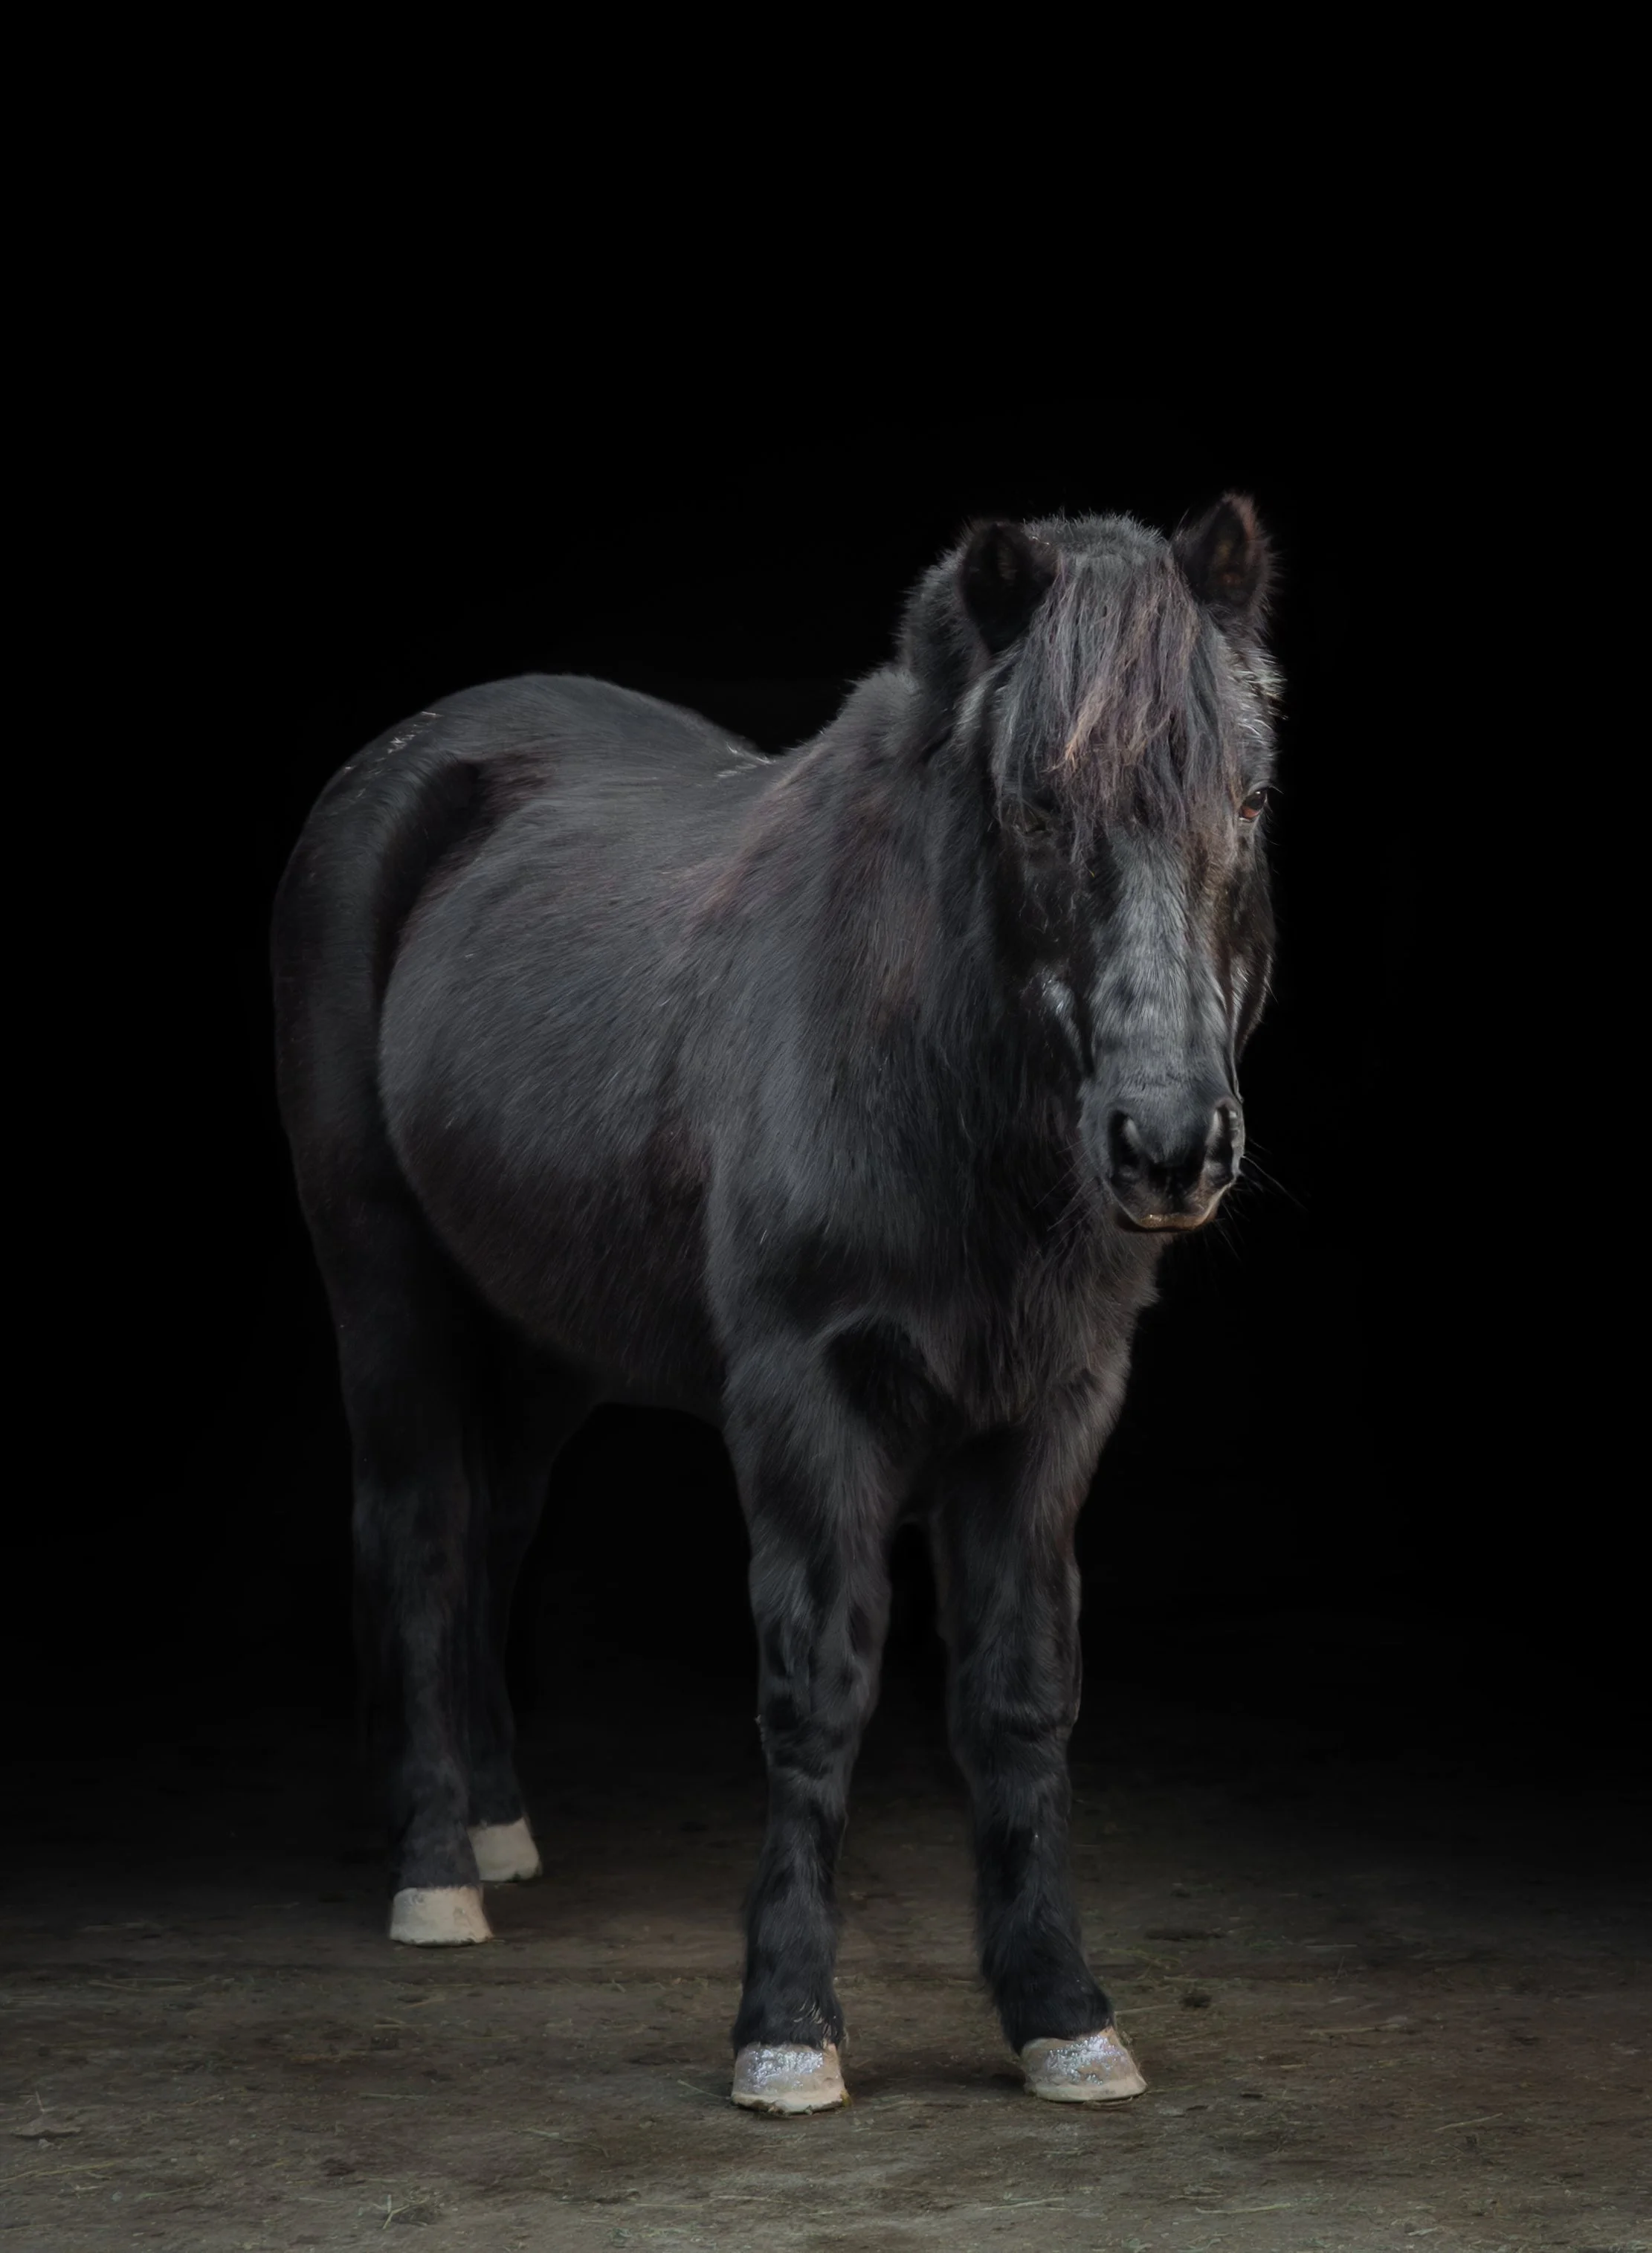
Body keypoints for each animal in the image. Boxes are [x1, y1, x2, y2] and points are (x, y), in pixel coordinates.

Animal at [272, 497, 1279, 2112]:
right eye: (1035, 808)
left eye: (1247, 799)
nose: (1170, 1142)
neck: (921, 1066)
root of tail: (410, 764)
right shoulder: (808, 1398)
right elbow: (820, 1689)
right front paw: (788, 2026)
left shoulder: (1049, 1412)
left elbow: (1019, 1694)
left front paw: (1061, 2013)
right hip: (384, 1282)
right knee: (419, 1524)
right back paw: (437, 1871)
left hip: (544, 1331)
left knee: (495, 1525)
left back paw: (498, 1824)